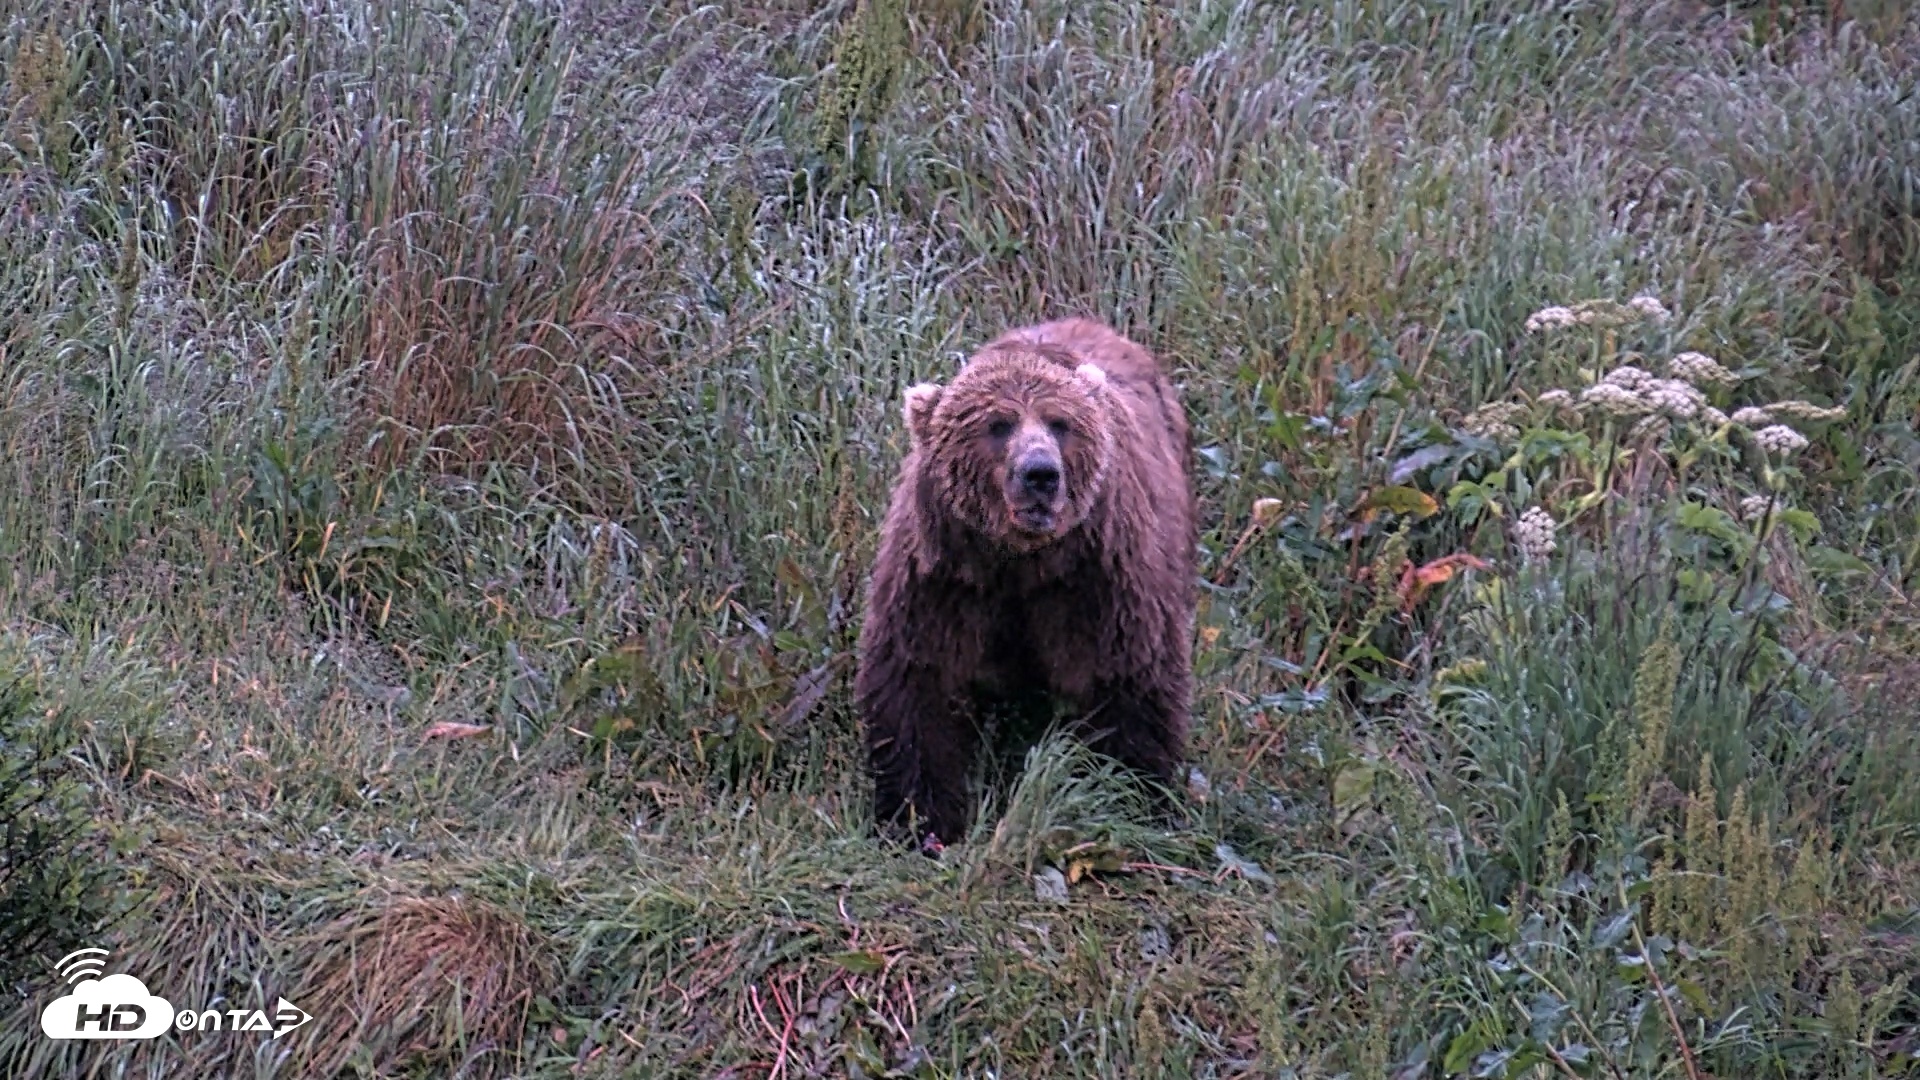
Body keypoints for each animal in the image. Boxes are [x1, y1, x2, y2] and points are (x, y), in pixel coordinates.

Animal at [855, 317, 1197, 847]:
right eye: (997, 425)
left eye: (1060, 424)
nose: (1040, 474)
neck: (1021, 560)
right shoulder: (945, 577)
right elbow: (918, 679)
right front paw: (920, 818)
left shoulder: (1098, 578)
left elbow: (1129, 675)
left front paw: (1133, 793)